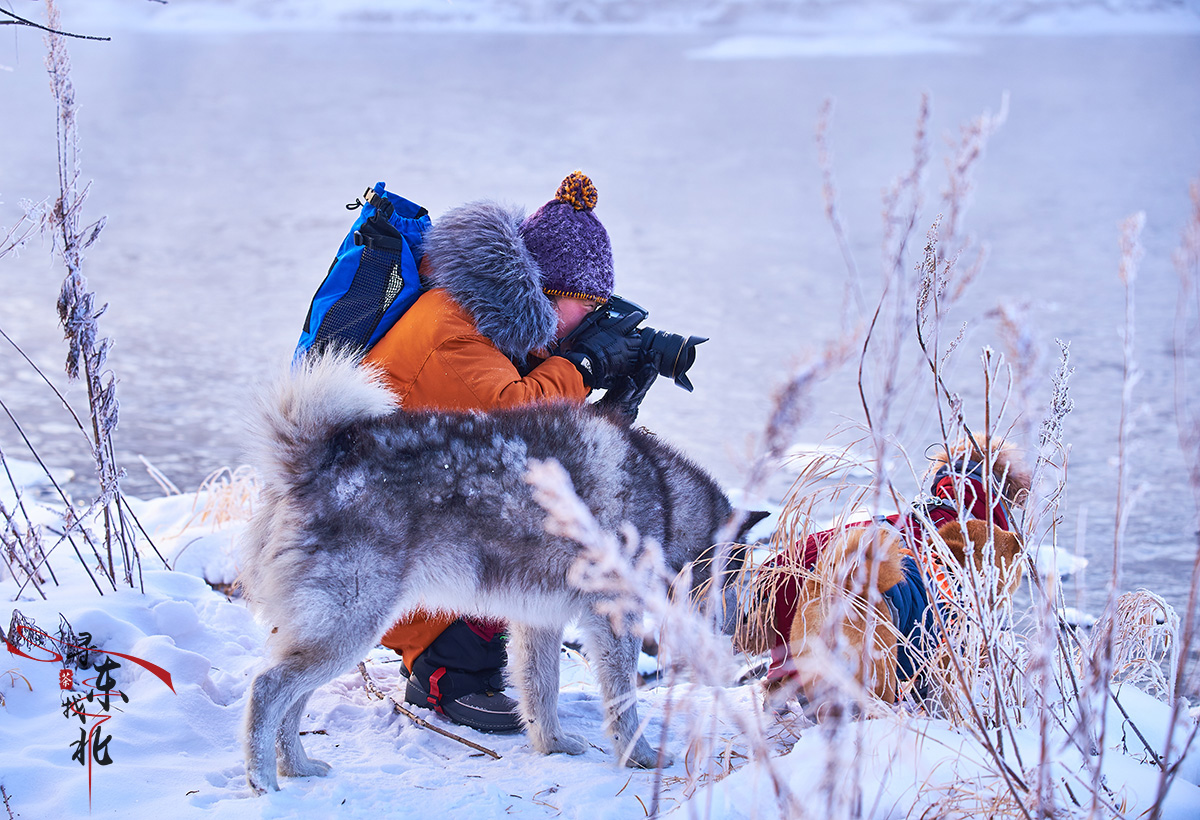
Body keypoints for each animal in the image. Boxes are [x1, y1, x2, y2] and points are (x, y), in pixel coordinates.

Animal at [236, 352, 739, 797]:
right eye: (737, 582)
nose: (735, 636)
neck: (666, 501)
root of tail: (312, 462)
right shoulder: (614, 621)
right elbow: (622, 701)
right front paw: (641, 756)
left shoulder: (539, 621)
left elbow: (541, 690)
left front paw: (553, 744)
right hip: (348, 627)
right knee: (267, 690)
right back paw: (264, 782)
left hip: (329, 633)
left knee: (292, 703)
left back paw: (297, 767)